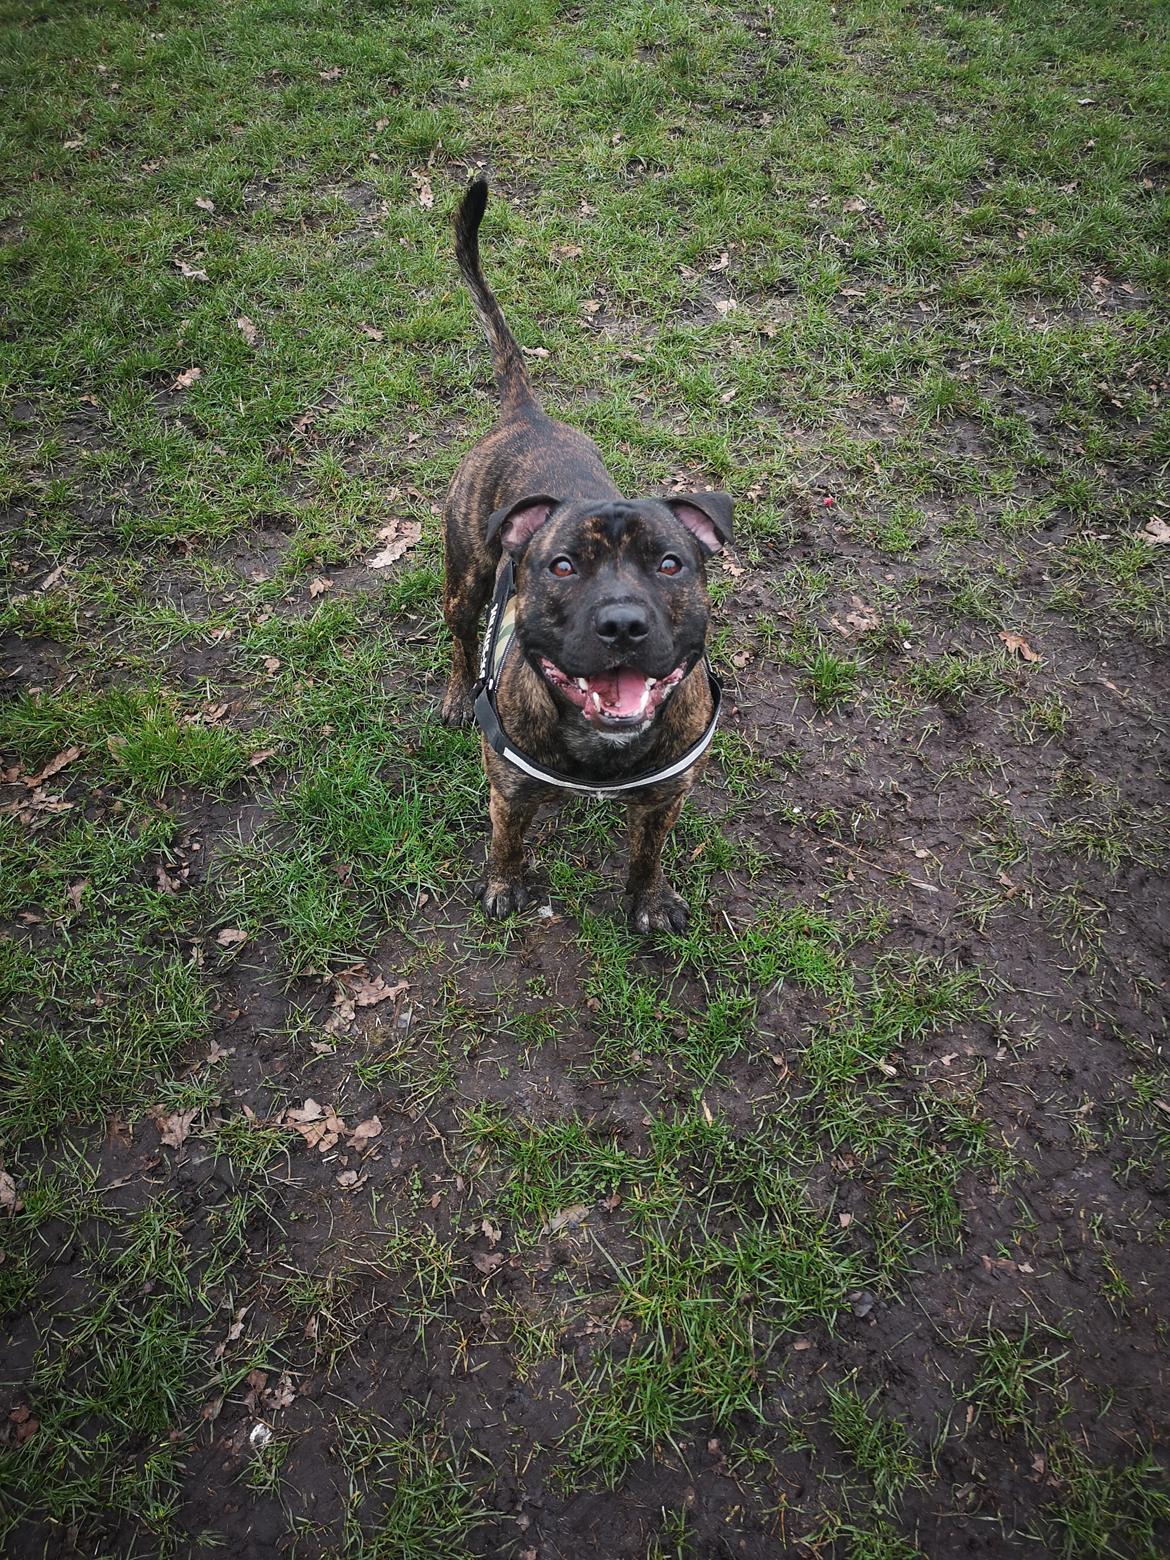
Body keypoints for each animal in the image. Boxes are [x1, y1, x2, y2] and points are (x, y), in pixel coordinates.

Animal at [439, 182, 733, 935]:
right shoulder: (509, 792)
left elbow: (647, 855)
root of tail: (528, 417)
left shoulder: (666, 798)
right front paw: (506, 886)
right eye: (563, 567)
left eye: (670, 564)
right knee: (459, 637)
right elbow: (506, 842)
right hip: (466, 578)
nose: (623, 624)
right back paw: (455, 694)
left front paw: (650, 900)